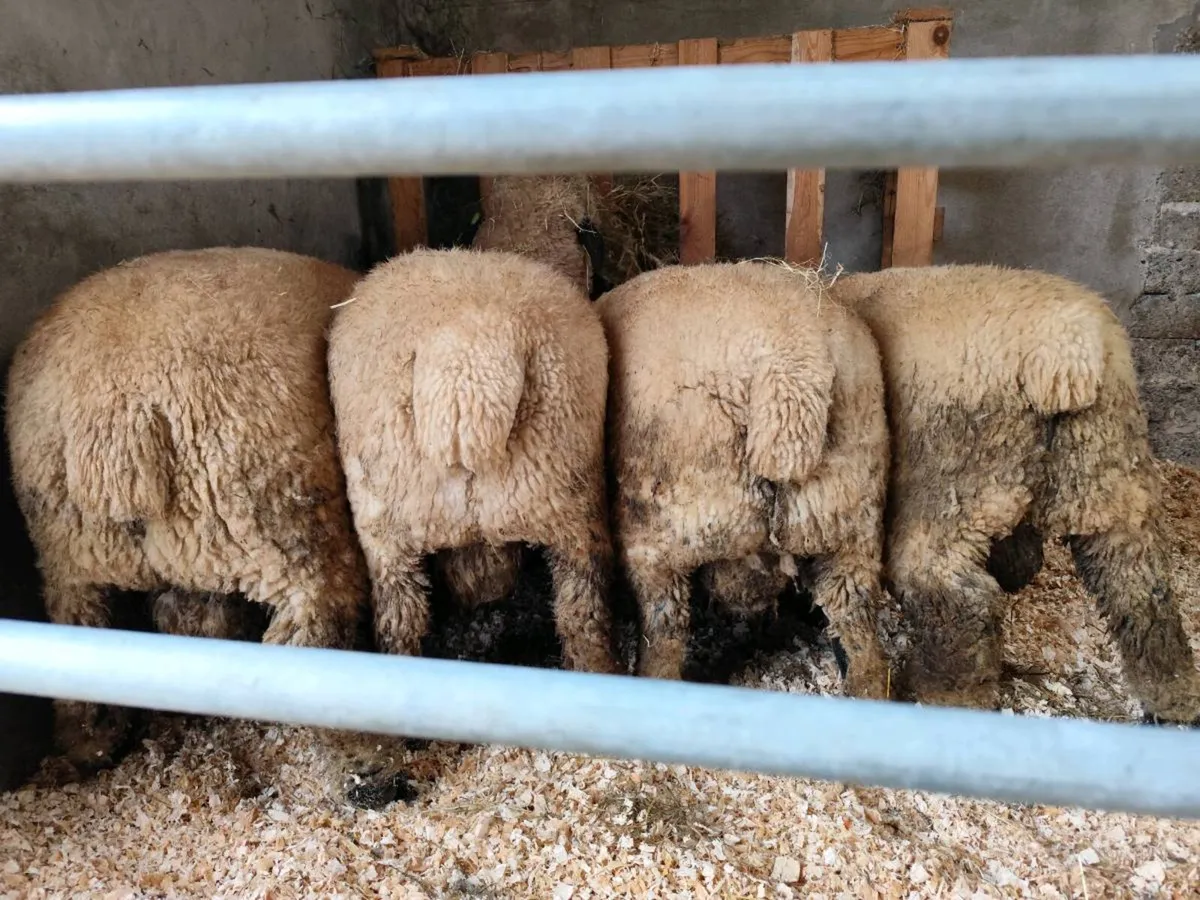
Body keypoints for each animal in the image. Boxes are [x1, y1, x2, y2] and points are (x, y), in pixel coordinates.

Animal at [4, 246, 389, 787]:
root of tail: (114, 417)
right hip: (276, 519)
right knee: (310, 637)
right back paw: (358, 760)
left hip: (75, 561)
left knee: (89, 663)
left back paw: (86, 752)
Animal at [830, 263, 1200, 724]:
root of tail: (1068, 357)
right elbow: (1022, 554)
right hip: (1108, 472)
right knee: (1142, 591)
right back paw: (1173, 700)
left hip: (953, 480)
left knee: (953, 592)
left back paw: (948, 692)